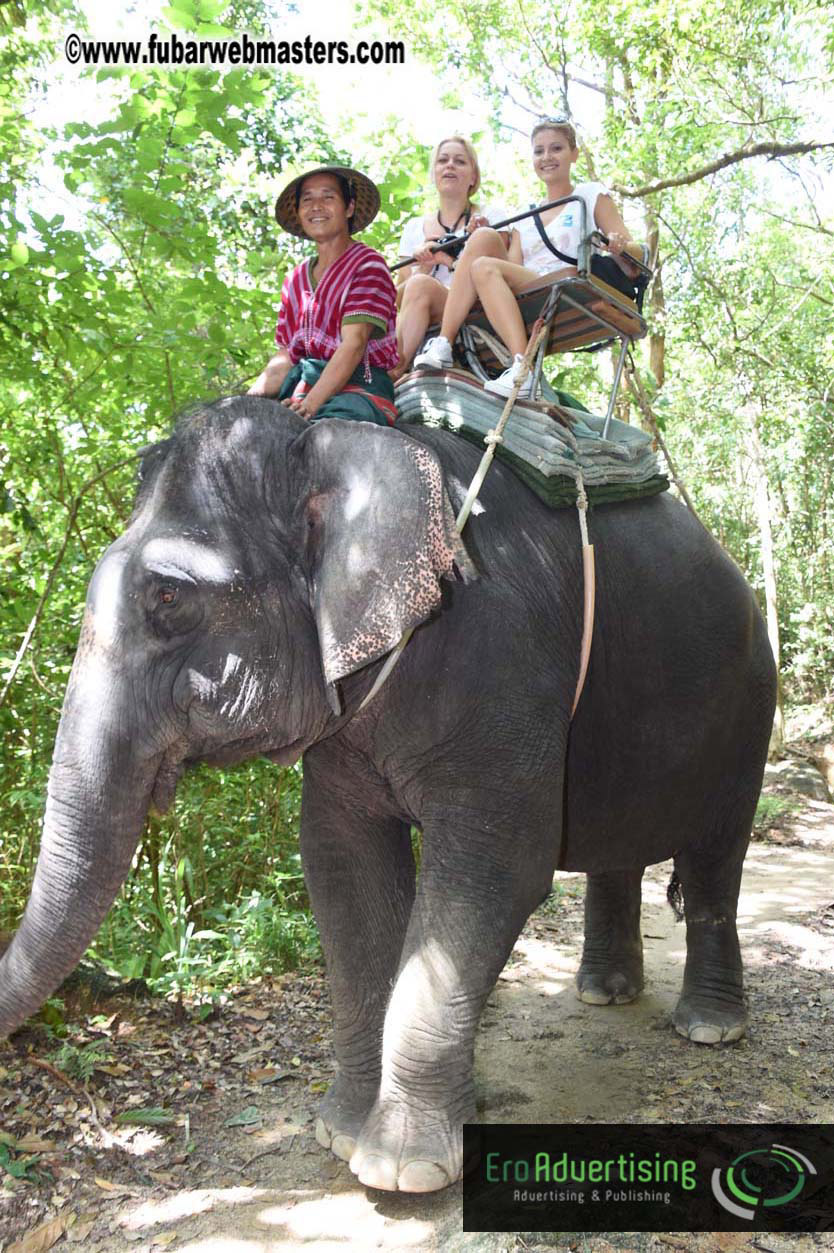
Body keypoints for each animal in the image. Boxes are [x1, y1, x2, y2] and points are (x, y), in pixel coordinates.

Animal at [0, 397, 776, 1193]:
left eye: (168, 597)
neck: (345, 444)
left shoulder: (504, 659)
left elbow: (497, 870)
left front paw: (404, 1170)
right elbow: (343, 867)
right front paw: (340, 1133)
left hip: (751, 704)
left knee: (716, 859)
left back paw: (710, 1026)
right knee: (615, 847)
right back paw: (605, 991)